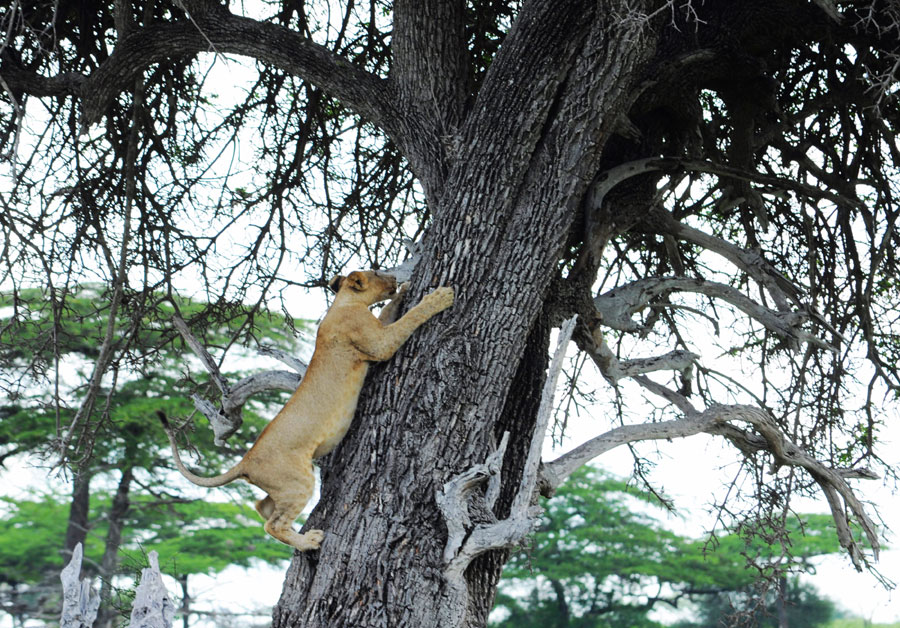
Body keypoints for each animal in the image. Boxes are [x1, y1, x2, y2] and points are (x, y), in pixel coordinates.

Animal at [160, 270, 454, 551]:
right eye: (378, 273)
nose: (394, 278)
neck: (344, 302)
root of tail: (245, 462)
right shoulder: (377, 342)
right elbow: (409, 319)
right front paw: (439, 297)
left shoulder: (375, 327)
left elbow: (389, 310)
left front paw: (404, 292)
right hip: (298, 481)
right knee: (273, 524)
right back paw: (309, 542)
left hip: (282, 487)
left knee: (263, 508)